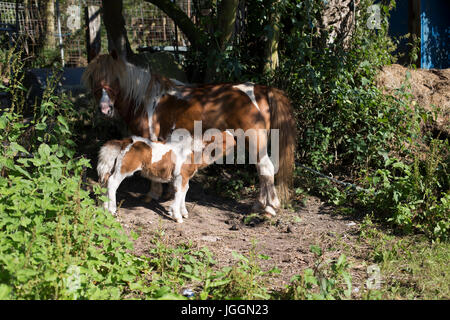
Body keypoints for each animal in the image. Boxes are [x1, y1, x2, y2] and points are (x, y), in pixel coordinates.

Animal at [98, 130, 236, 222]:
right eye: (223, 140)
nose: (235, 142)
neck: (193, 152)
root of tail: (127, 141)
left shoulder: (184, 178)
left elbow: (185, 191)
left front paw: (183, 212)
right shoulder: (181, 176)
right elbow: (179, 193)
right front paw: (177, 216)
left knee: (106, 182)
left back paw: (104, 206)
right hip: (125, 169)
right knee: (112, 183)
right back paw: (112, 210)